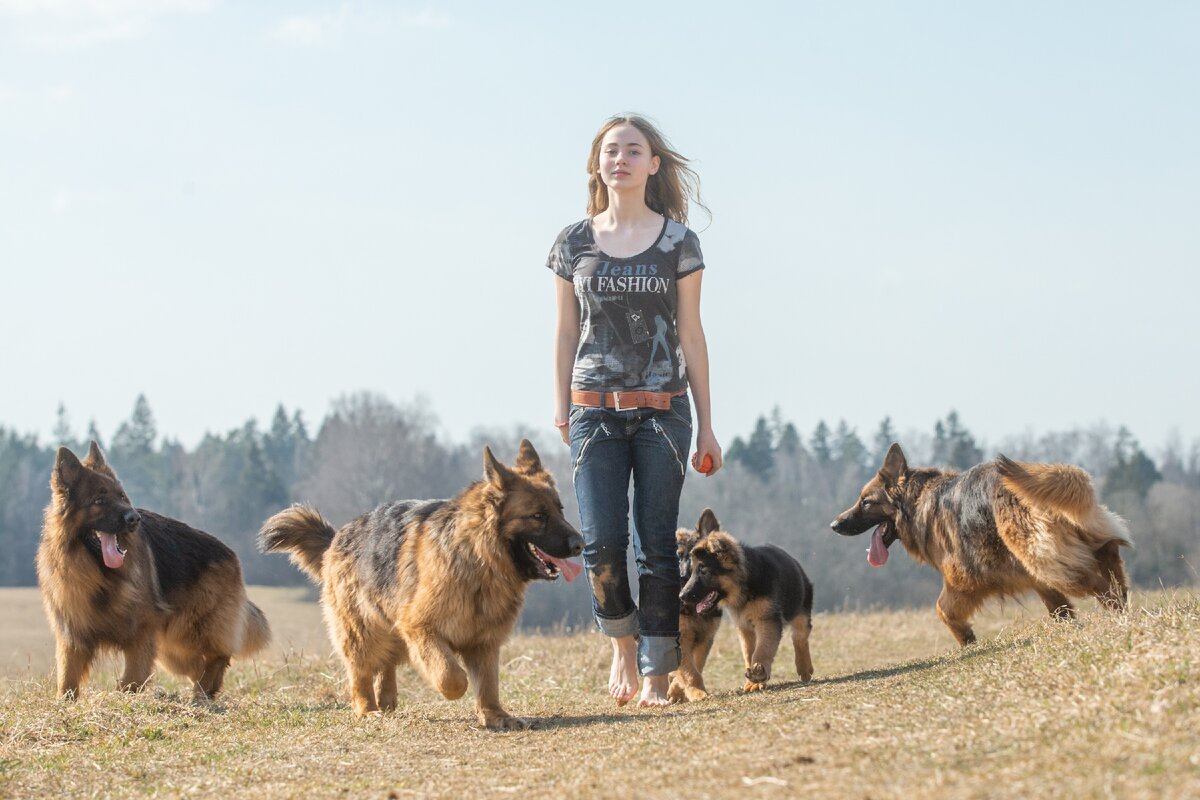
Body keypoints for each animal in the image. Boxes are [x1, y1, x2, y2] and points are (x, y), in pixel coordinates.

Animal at [39, 443, 272, 700]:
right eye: (99, 500)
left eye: (122, 497)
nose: (134, 518)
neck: (102, 576)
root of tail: (230, 553)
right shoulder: (73, 636)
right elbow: (67, 680)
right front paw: (65, 702)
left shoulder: (141, 634)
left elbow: (132, 677)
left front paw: (125, 697)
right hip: (172, 650)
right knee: (199, 666)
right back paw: (204, 693)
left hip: (189, 632)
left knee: (218, 655)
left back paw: (201, 694)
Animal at [260, 441, 583, 729]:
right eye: (538, 516)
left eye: (561, 510)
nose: (580, 544)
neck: (479, 559)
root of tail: (336, 536)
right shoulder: (421, 628)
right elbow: (452, 676)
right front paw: (458, 692)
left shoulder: (485, 642)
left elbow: (489, 683)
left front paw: (495, 715)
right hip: (361, 632)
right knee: (361, 674)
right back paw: (367, 709)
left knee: (387, 662)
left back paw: (387, 699)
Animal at [676, 513, 816, 695]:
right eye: (692, 571)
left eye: (703, 570)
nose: (681, 596)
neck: (744, 587)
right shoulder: (744, 627)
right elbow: (749, 653)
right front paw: (752, 680)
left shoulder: (767, 620)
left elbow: (763, 649)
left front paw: (758, 675)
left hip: (799, 609)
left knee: (800, 637)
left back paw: (804, 668)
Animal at [835, 441, 1132, 647]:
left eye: (866, 502)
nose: (834, 525)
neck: (918, 500)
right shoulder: (1036, 582)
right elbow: (1060, 611)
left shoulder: (961, 580)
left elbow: (942, 610)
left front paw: (966, 639)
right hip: (1067, 552)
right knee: (1111, 561)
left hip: (1044, 560)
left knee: (1100, 585)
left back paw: (1118, 616)